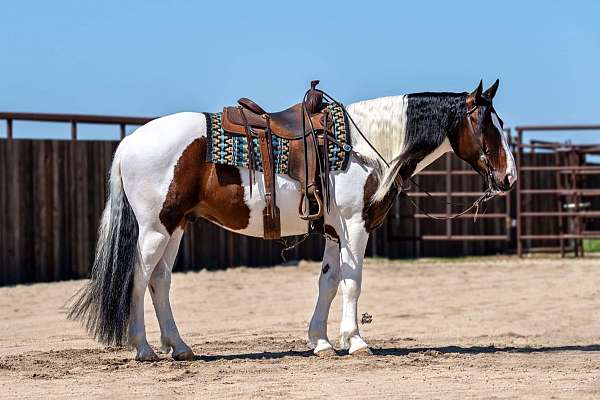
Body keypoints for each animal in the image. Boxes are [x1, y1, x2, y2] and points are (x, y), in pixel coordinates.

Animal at [67, 79, 516, 360]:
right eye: (486, 126)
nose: (509, 178)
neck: (361, 146)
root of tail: (129, 142)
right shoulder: (354, 226)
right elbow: (352, 283)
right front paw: (356, 342)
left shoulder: (335, 231)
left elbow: (329, 282)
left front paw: (321, 342)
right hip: (154, 228)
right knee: (139, 278)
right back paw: (143, 348)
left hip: (175, 225)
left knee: (160, 281)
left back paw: (179, 347)